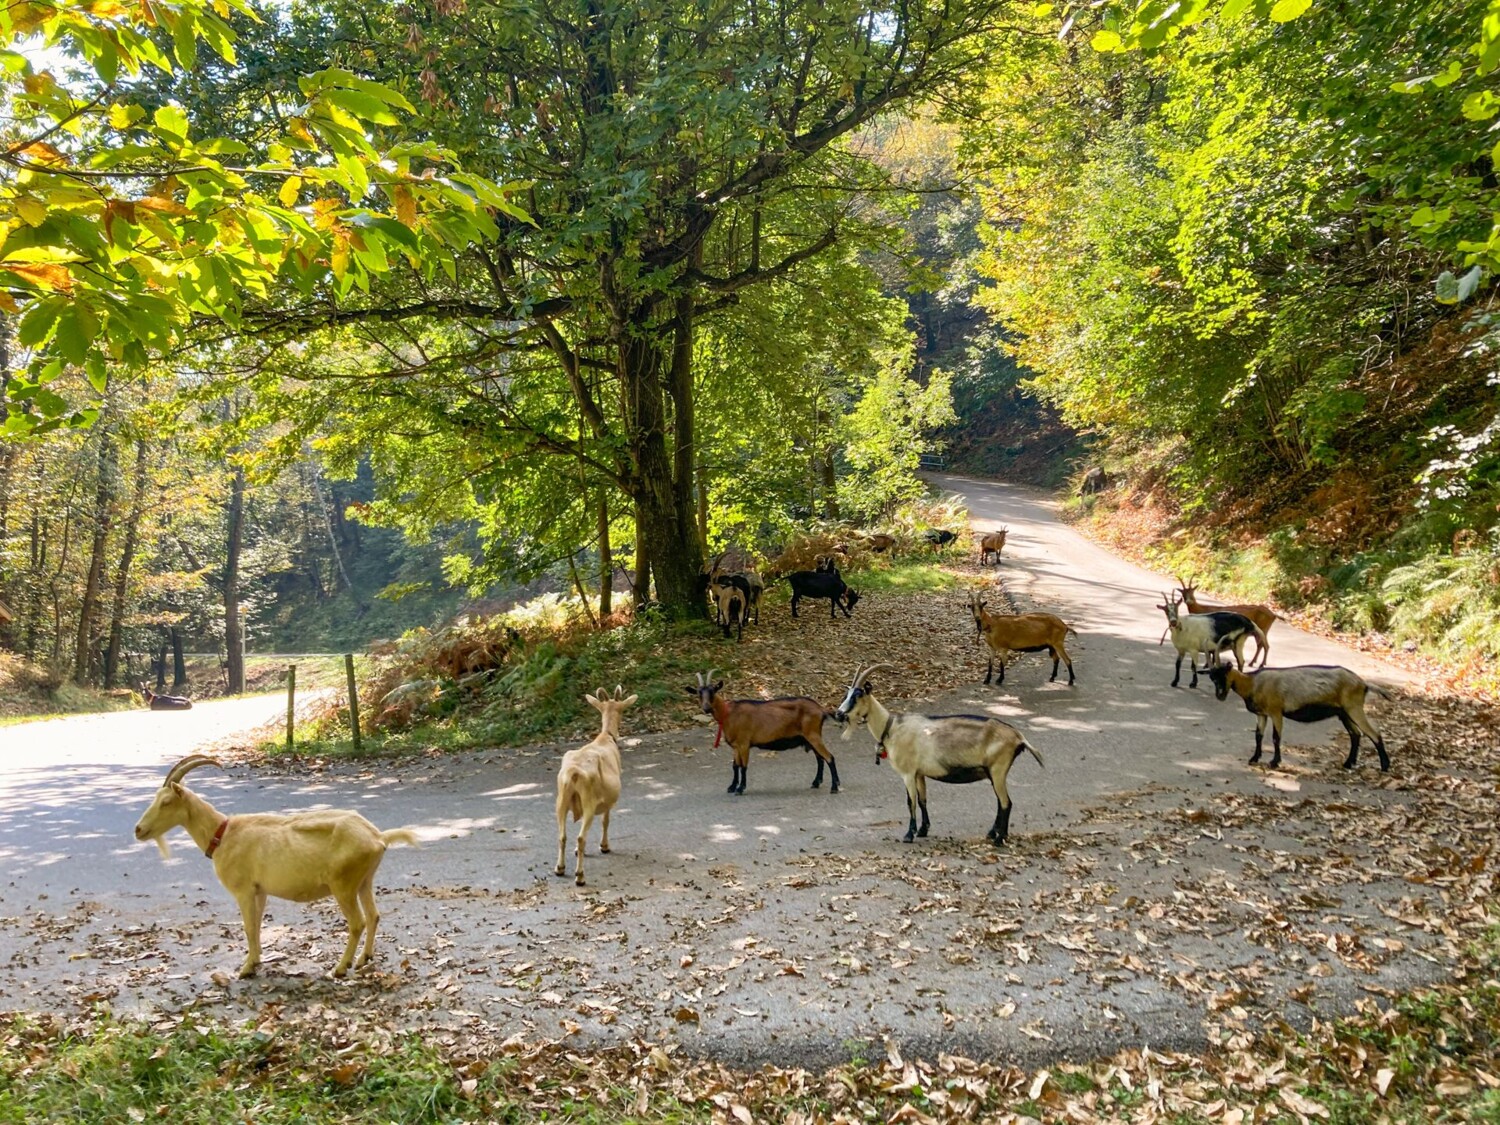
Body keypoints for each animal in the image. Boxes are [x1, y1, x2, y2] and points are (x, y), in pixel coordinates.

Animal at [132, 755, 419, 978]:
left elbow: (248, 926)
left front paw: (246, 969)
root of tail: (378, 837)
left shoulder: (243, 890)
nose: (138, 830)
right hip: (364, 880)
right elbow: (257, 925)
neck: (223, 834)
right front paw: (255, 961)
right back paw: (363, 959)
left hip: (343, 884)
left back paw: (340, 967)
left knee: (357, 922)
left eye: (166, 802)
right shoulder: (260, 890)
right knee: (373, 915)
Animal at [556, 686, 636, 885]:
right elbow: (605, 821)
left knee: (562, 835)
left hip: (561, 801)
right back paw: (580, 876)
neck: (605, 737)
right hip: (589, 803)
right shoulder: (607, 800)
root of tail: (573, 773)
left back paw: (560, 868)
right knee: (581, 837)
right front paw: (604, 846)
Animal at [687, 670, 840, 794]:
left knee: (829, 757)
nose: (706, 708)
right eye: (699, 693)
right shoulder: (736, 746)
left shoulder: (744, 743)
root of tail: (820, 709)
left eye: (713, 691)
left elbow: (743, 766)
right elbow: (735, 766)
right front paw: (731, 787)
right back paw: (816, 783)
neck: (728, 713)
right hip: (809, 738)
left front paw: (740, 788)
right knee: (820, 758)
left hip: (813, 735)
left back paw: (834, 787)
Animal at [835, 664, 1044, 845]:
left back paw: (1000, 839)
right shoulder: (919, 773)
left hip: (998, 770)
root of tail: (1018, 736)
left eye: (857, 696)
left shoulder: (907, 773)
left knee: (1006, 802)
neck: (891, 728)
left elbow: (910, 802)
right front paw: (923, 830)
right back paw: (994, 834)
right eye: (846, 695)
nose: (838, 714)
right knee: (1002, 802)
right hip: (994, 773)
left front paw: (909, 834)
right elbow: (922, 800)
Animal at [1207, 664, 1391, 771]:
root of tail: (1364, 684)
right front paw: (1254, 758)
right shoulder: (1262, 714)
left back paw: (1384, 766)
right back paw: (1348, 763)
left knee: (1373, 733)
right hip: (1344, 712)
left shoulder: (1276, 711)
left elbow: (1275, 737)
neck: (1252, 683)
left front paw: (1274, 762)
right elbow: (1258, 736)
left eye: (1223, 675)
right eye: (1213, 678)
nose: (1220, 695)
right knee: (1355, 734)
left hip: (1354, 708)